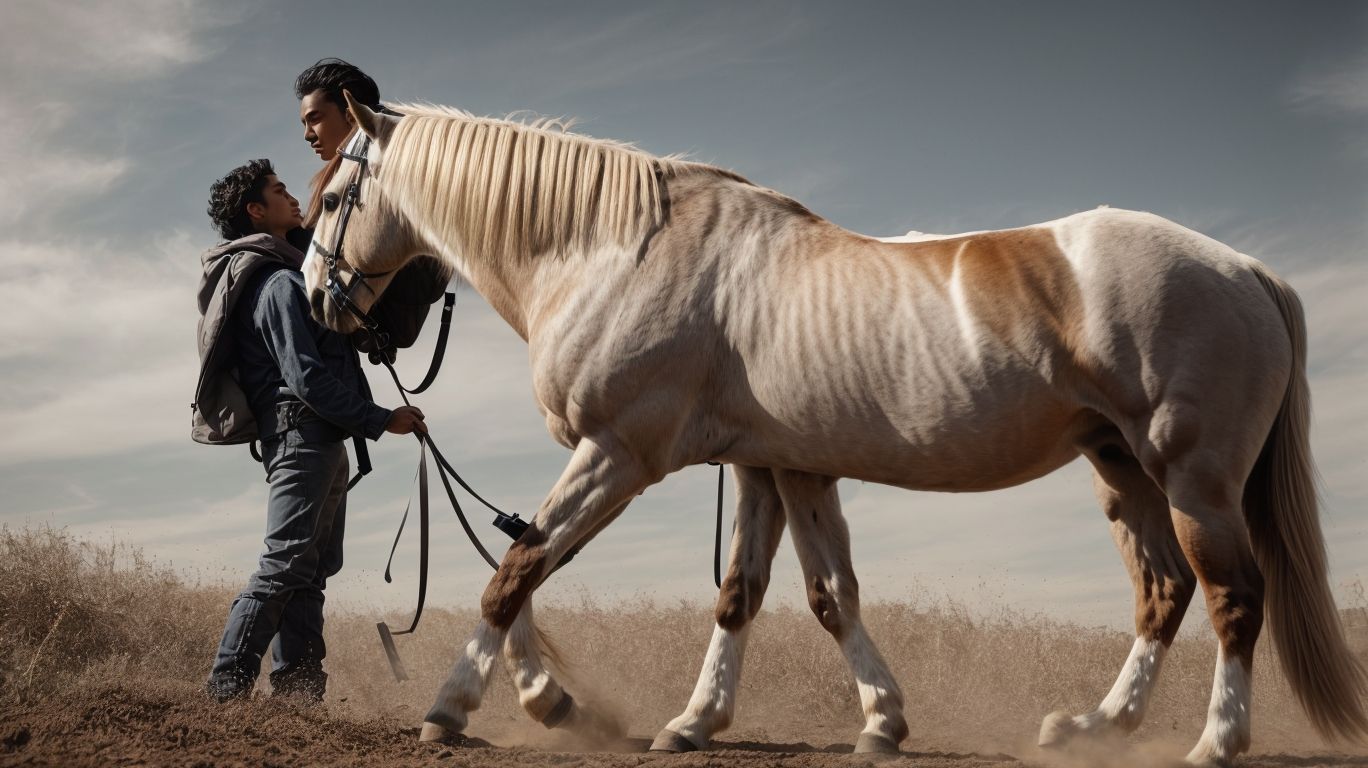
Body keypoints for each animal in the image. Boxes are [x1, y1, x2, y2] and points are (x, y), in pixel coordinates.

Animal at [301, 93, 1367, 766]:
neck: (617, 250)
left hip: (1191, 475)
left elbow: (513, 570)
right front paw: (747, 722)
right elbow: (788, 597)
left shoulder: (617, 454)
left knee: (1232, 598)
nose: (316, 299)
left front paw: (466, 707)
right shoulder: (777, 469)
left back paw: (1215, 742)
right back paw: (1095, 729)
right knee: (1163, 592)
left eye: (334, 196)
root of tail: (1243, 268)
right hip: (1120, 469)